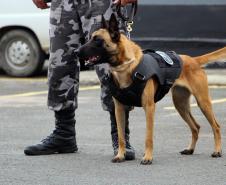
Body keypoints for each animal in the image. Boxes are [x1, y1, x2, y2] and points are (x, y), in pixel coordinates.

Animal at [78, 14, 226, 165]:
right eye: (91, 37)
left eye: (98, 40)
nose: (76, 51)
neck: (126, 67)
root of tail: (194, 60)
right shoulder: (119, 108)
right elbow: (121, 136)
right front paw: (120, 155)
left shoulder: (149, 107)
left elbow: (148, 137)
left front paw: (147, 157)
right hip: (180, 105)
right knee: (196, 127)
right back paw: (190, 149)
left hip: (203, 102)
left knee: (216, 126)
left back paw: (217, 151)